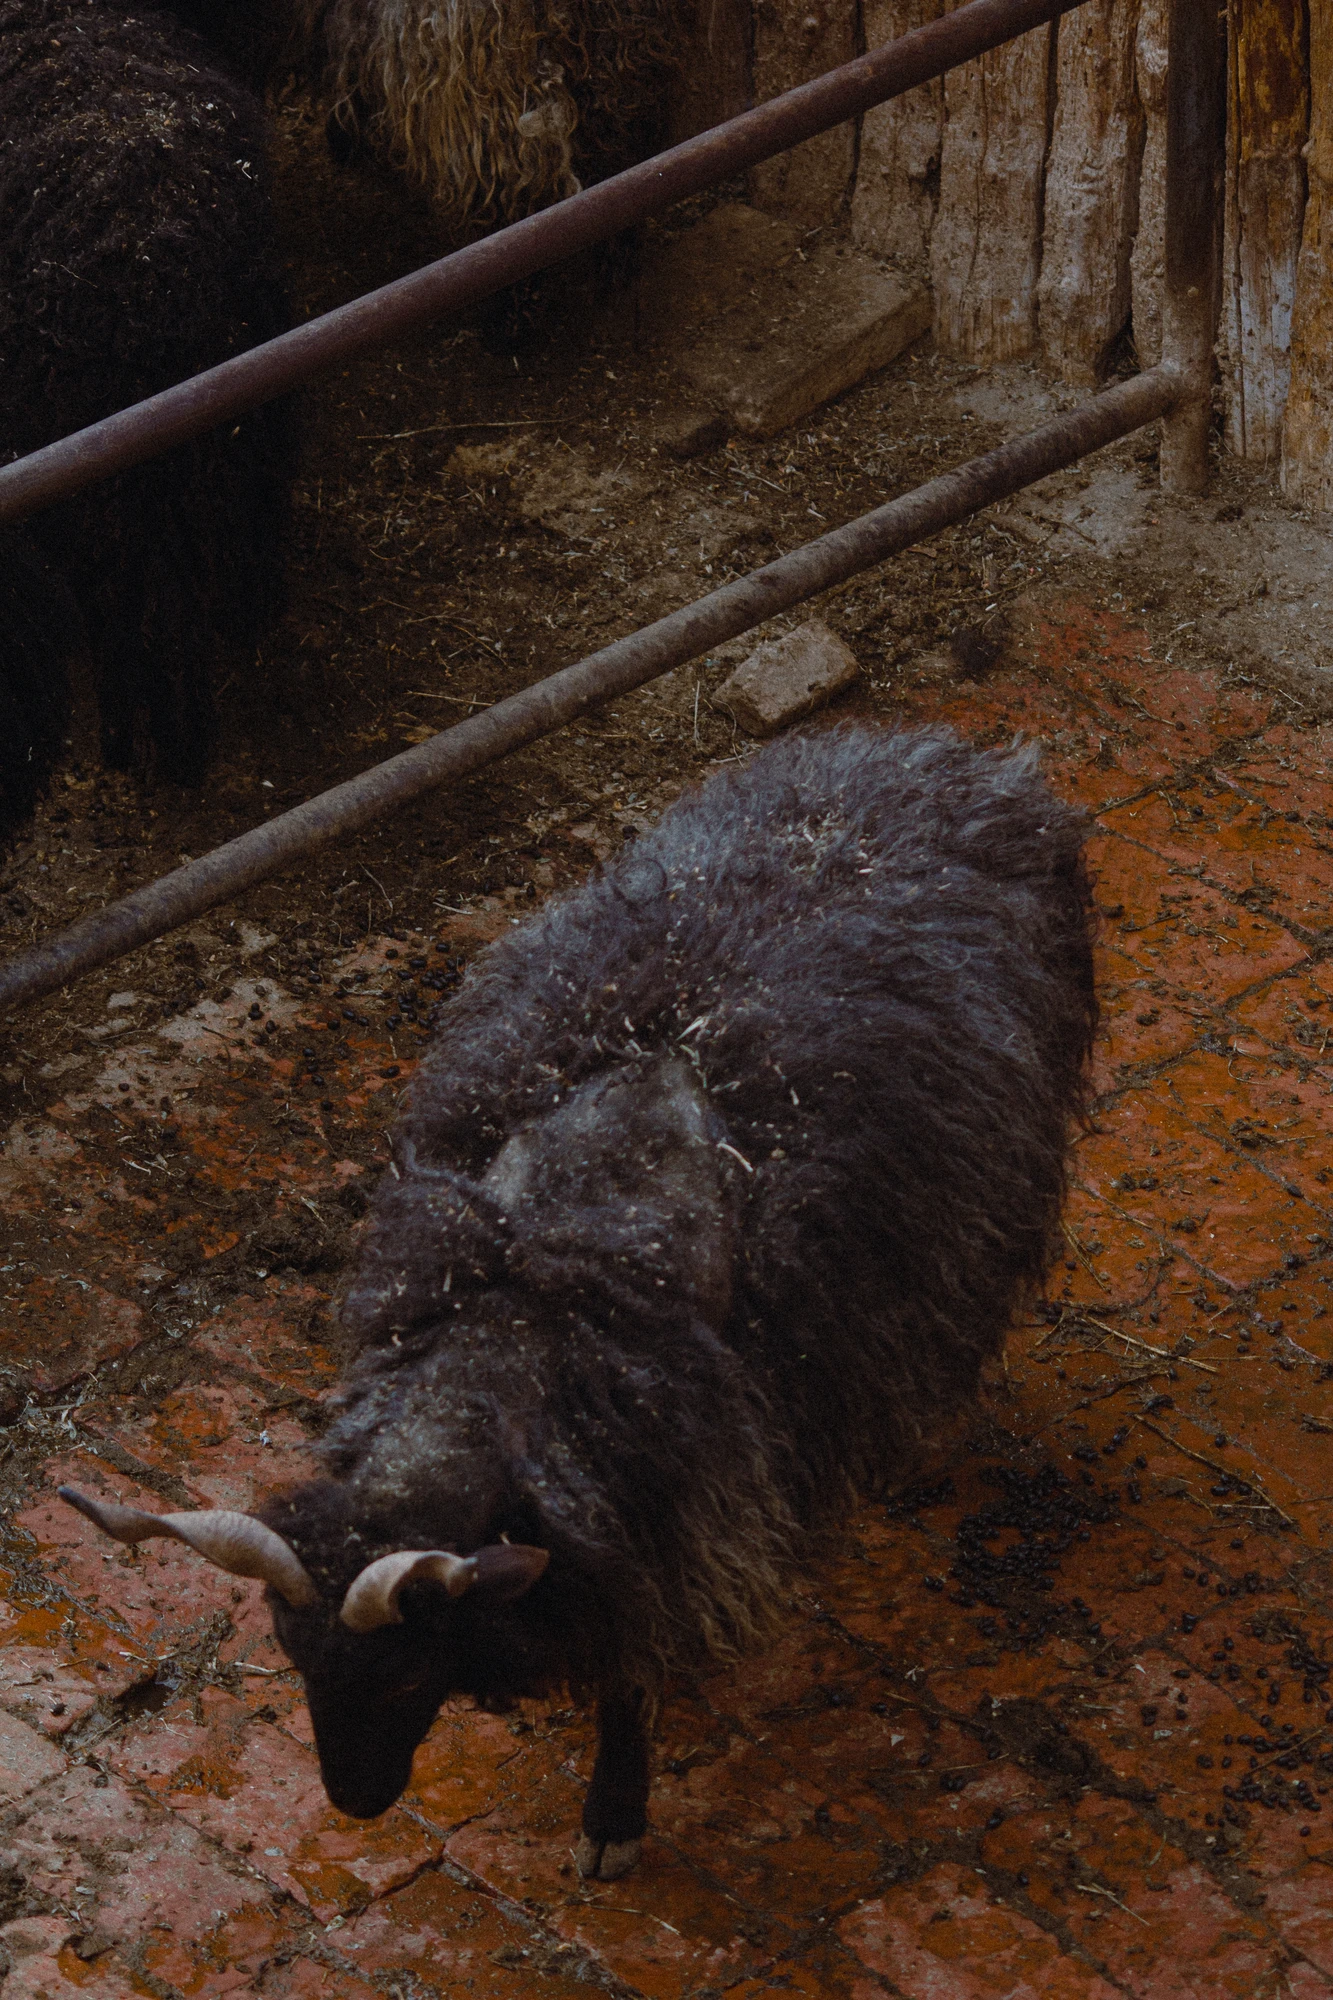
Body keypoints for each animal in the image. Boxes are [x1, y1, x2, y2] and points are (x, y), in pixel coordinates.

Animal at [62, 724, 1097, 1880]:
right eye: (290, 1655)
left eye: (408, 1672)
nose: (356, 1804)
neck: (515, 1320)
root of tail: (951, 755)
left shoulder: (667, 1506)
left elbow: (628, 1672)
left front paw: (613, 1814)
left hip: (990, 1185)